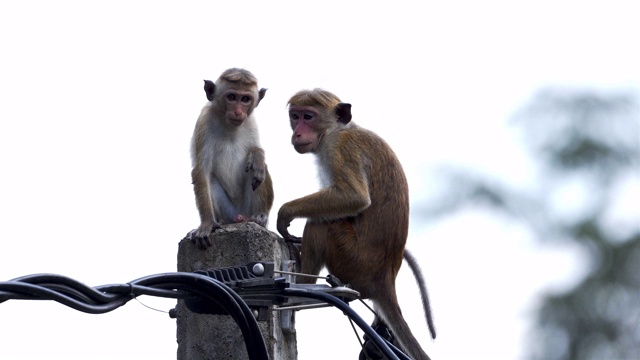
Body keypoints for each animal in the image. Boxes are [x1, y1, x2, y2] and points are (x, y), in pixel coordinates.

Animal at [185, 67, 276, 249]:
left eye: (245, 99)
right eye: (232, 97)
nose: (238, 112)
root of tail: (240, 216)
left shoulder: (251, 122)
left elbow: (257, 152)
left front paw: (257, 155)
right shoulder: (204, 121)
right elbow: (201, 171)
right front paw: (206, 224)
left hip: (248, 208)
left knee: (258, 171)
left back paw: (260, 217)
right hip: (229, 212)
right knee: (211, 179)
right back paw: (218, 221)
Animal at [276, 88, 436, 360]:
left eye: (308, 116)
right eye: (294, 116)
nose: (297, 132)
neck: (338, 129)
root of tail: (384, 279)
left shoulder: (339, 148)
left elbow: (353, 197)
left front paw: (285, 213)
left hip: (352, 260)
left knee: (321, 224)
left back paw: (304, 285)